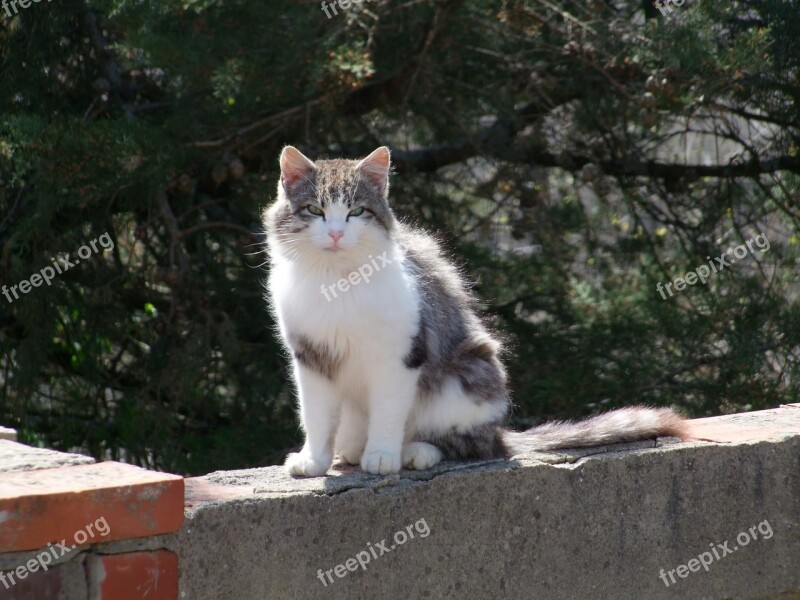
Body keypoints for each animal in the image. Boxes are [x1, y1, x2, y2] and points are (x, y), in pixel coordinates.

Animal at [264, 146, 688, 478]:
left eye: (355, 211)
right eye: (315, 209)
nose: (336, 233)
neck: (335, 282)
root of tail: (499, 431)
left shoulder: (399, 356)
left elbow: (388, 412)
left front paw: (382, 455)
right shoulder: (310, 357)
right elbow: (316, 416)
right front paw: (315, 461)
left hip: (464, 377)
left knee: (467, 443)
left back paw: (413, 452)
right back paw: (352, 449)